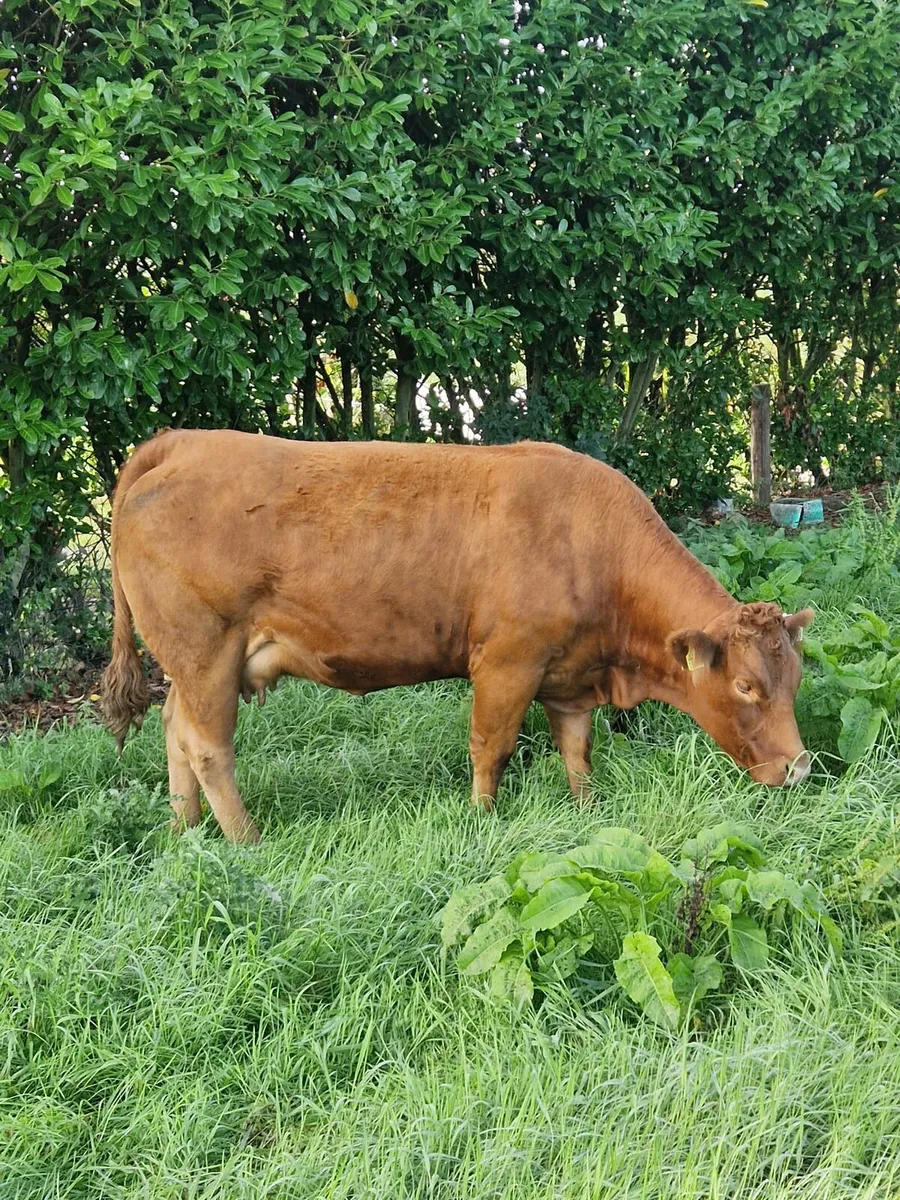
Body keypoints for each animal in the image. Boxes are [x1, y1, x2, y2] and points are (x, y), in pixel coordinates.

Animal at [101, 430, 813, 843]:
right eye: (746, 686)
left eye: (795, 680)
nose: (801, 765)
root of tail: (183, 443)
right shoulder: (507, 663)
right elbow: (490, 748)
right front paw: (482, 821)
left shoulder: (570, 674)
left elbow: (577, 752)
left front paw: (587, 810)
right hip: (207, 652)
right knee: (208, 747)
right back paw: (246, 840)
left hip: (192, 664)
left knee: (175, 728)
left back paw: (186, 830)